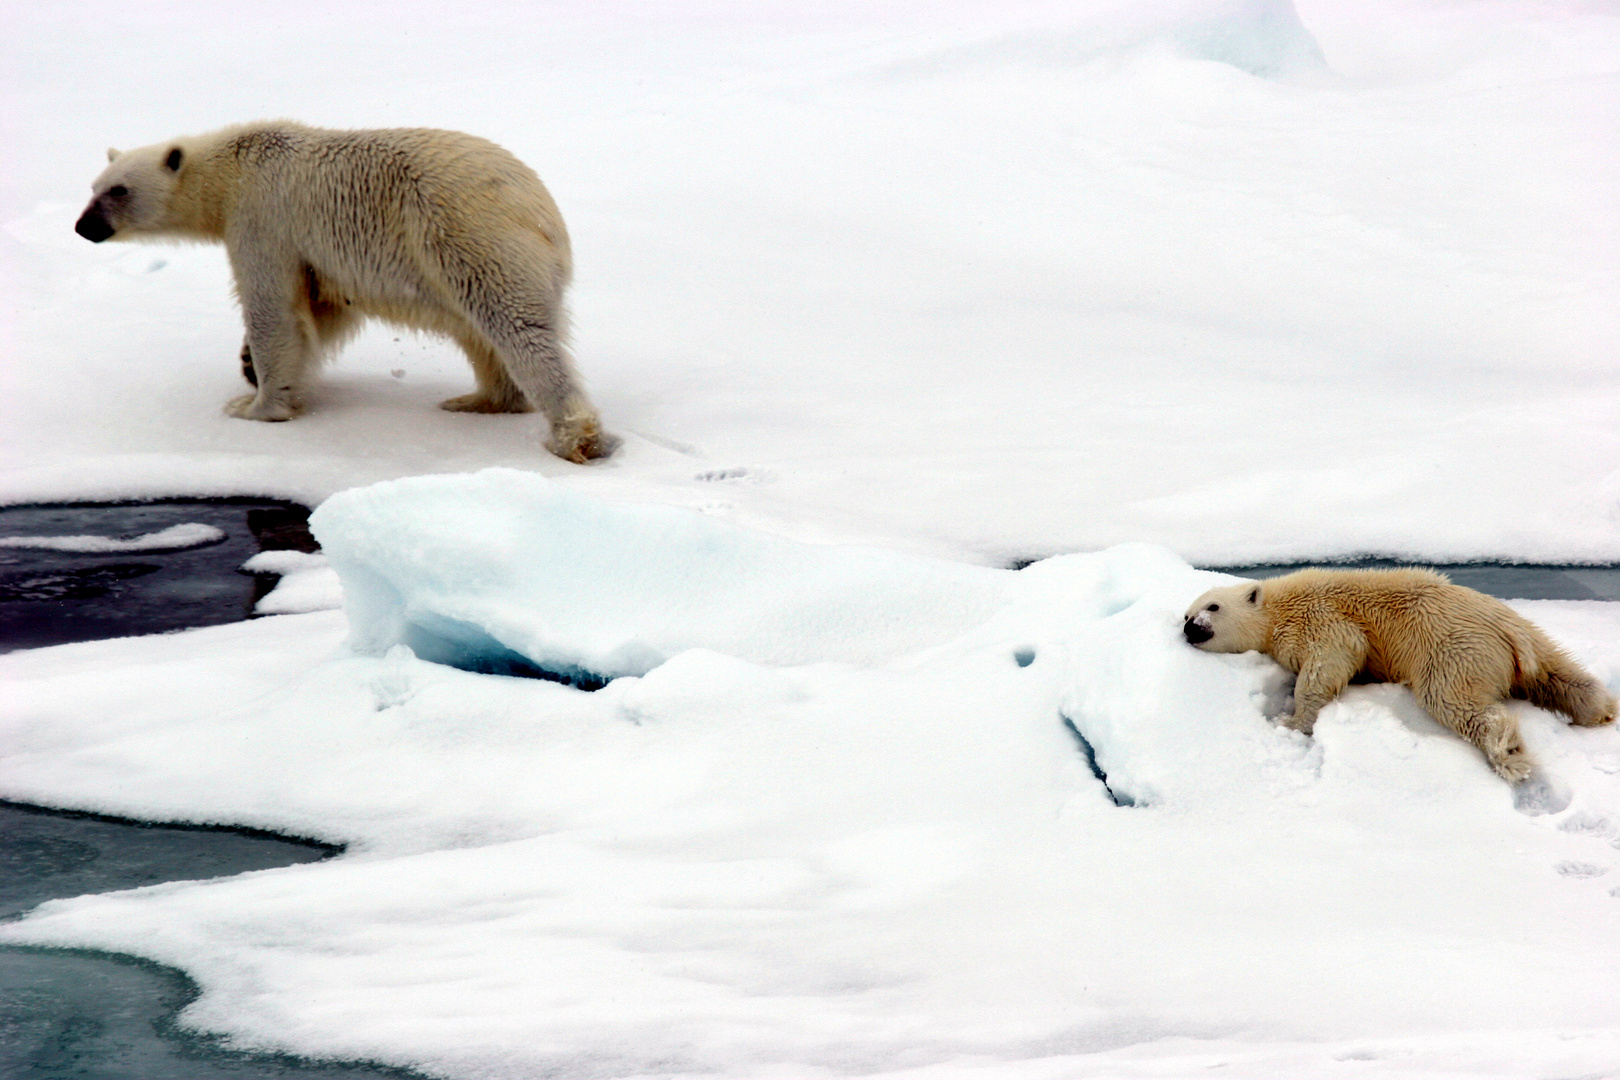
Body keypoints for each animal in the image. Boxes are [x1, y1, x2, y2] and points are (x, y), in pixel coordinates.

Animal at [69, 120, 615, 463]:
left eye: (118, 190)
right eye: (93, 186)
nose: (82, 227)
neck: (234, 167)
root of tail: (544, 210)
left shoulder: (263, 217)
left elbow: (273, 309)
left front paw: (255, 407)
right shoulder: (312, 253)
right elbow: (324, 308)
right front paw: (248, 367)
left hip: (470, 235)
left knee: (517, 327)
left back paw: (574, 436)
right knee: (479, 333)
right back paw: (478, 400)